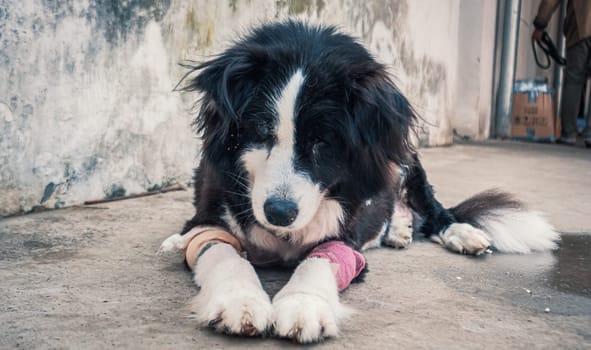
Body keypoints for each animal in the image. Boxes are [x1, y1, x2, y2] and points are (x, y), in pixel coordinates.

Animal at [161, 21, 560, 344]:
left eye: (322, 142)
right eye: (261, 130)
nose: (279, 212)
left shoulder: (345, 233)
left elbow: (319, 261)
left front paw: (304, 306)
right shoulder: (206, 218)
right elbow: (222, 253)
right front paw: (239, 301)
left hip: (406, 160)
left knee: (432, 207)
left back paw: (458, 232)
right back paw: (397, 230)